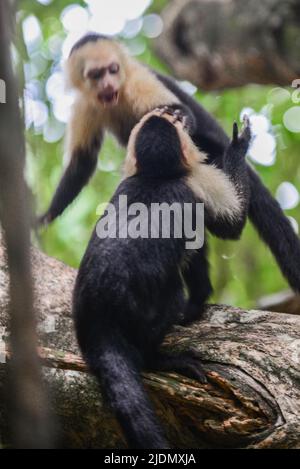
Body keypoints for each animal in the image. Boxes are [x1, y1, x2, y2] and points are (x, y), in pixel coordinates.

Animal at [39, 33, 300, 292]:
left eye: (113, 69)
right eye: (96, 74)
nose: (108, 84)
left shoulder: (138, 80)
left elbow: (180, 111)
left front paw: (179, 115)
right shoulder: (85, 103)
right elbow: (82, 162)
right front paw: (46, 217)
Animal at [72, 109, 251, 450]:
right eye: (173, 119)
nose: (180, 112)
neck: (156, 174)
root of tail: (98, 319)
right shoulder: (199, 181)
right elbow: (229, 227)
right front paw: (238, 145)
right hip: (139, 309)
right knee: (171, 298)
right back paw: (159, 359)